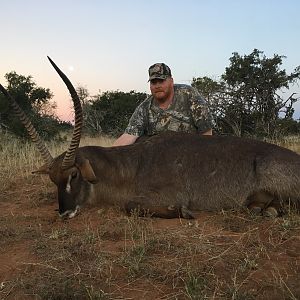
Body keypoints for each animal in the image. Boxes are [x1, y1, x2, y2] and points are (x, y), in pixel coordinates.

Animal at [0, 57, 300, 219]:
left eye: (74, 175)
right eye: (53, 179)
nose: (64, 212)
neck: (131, 167)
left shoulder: (167, 194)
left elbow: (132, 206)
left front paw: (183, 212)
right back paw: (263, 208)